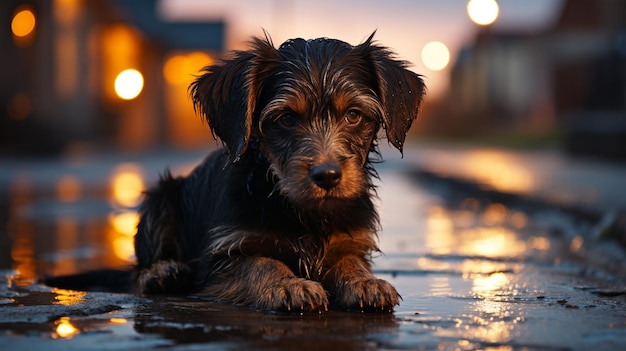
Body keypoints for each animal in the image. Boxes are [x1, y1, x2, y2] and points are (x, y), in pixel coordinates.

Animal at [48, 33, 424, 314]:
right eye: (286, 119)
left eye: (354, 116)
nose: (328, 176)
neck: (299, 209)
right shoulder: (218, 261)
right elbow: (259, 262)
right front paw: (289, 284)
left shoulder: (352, 240)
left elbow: (349, 260)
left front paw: (365, 281)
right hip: (162, 196)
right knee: (137, 271)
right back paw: (163, 273)